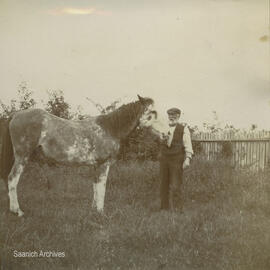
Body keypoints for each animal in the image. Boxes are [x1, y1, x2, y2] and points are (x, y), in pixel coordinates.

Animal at [0, 95, 158, 217]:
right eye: (153, 111)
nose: (162, 132)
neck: (110, 128)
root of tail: (16, 114)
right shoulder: (103, 164)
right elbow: (102, 188)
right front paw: (101, 213)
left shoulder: (95, 165)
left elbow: (95, 187)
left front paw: (94, 210)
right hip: (22, 156)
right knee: (12, 179)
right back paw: (18, 211)